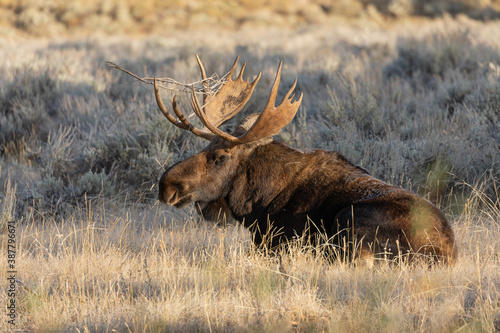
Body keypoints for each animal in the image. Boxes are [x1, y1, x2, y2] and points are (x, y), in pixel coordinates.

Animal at [154, 55, 458, 264]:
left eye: (220, 157)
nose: (166, 185)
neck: (258, 200)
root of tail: (444, 253)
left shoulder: (276, 242)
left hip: (350, 221)